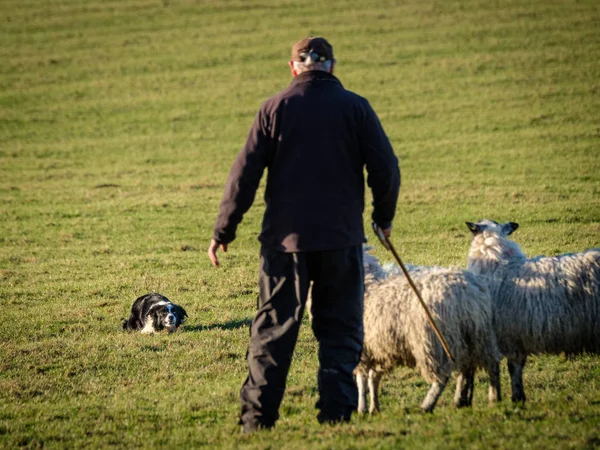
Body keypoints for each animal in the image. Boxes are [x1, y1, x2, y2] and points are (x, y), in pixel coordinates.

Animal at [356, 251, 502, 414]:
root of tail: (467, 290)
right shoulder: (379, 349)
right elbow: (373, 378)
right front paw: (374, 408)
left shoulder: (364, 349)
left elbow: (362, 380)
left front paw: (362, 408)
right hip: (478, 334)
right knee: (487, 365)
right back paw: (487, 398)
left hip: (434, 342)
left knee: (443, 377)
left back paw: (427, 405)